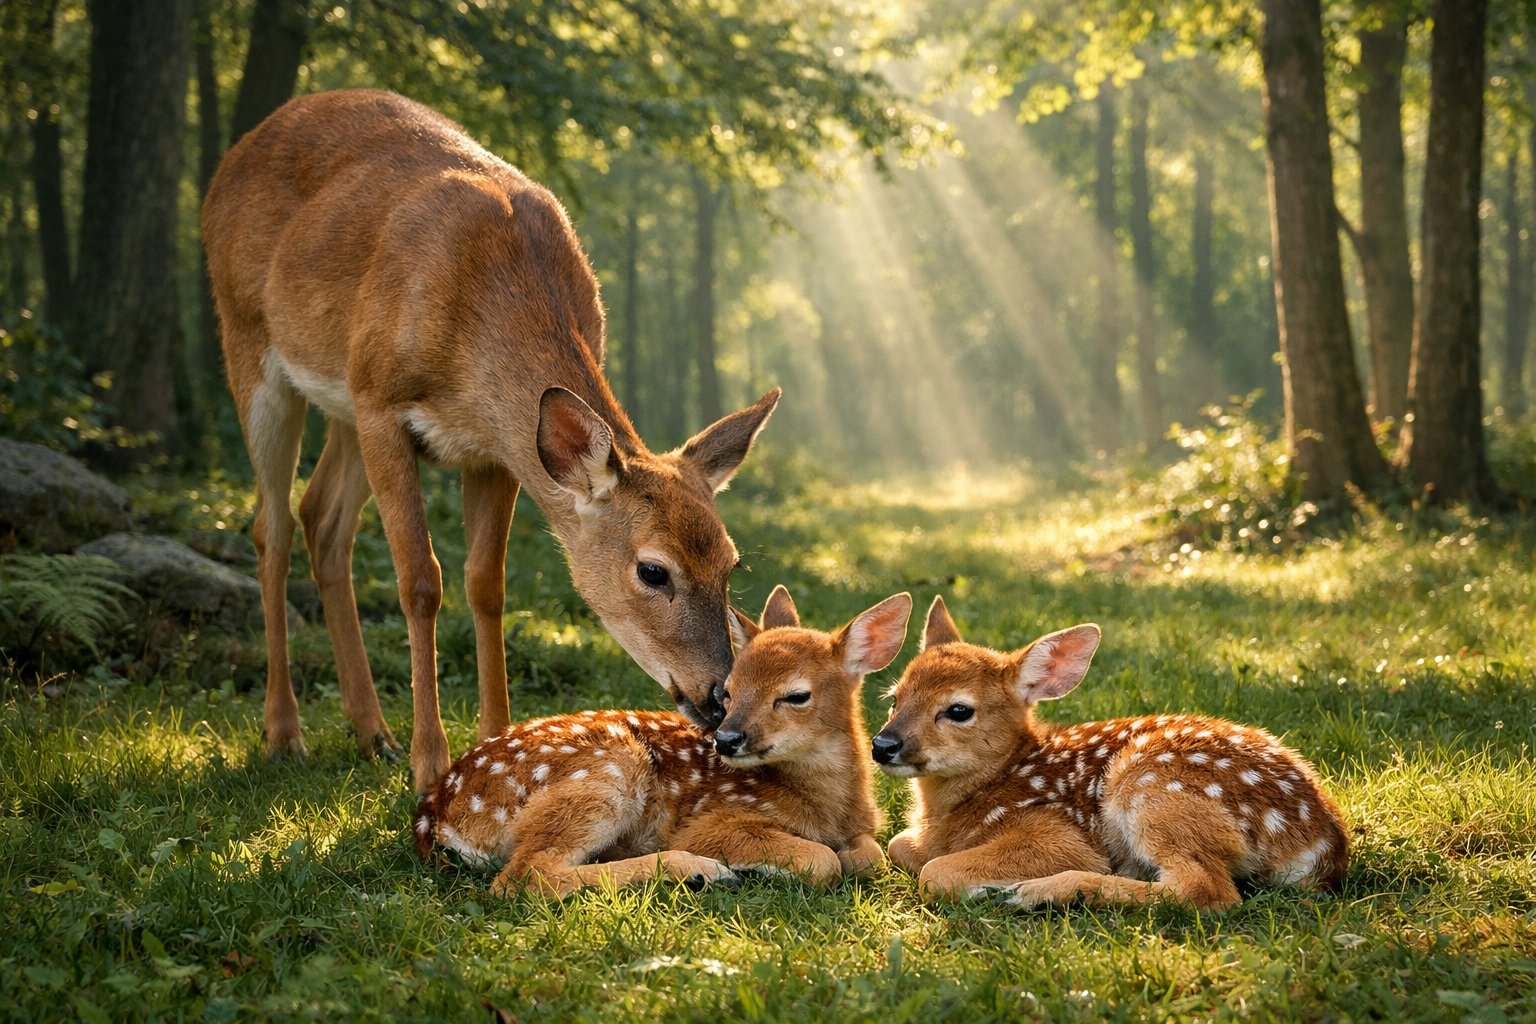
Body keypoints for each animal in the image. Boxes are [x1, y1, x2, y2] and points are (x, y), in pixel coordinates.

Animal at [202, 89, 780, 794]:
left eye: (731, 564)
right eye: (653, 570)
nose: (721, 696)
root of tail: (233, 156)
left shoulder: (499, 448)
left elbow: (487, 586)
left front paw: (495, 745)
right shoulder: (381, 401)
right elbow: (421, 580)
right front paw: (430, 765)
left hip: (340, 403)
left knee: (323, 518)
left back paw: (372, 733)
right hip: (251, 342)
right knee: (272, 524)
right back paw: (285, 733)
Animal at [414, 586, 910, 897]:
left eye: (796, 695)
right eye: (729, 692)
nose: (725, 739)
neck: (829, 805)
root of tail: (436, 811)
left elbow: (872, 857)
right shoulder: (711, 822)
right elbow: (822, 860)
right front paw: (750, 866)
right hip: (609, 771)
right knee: (523, 876)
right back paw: (698, 871)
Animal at [872, 597, 1350, 911]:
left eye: (958, 710)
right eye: (894, 699)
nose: (883, 745)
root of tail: (1323, 844)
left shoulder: (1055, 833)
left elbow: (934, 872)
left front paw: (989, 888)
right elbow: (898, 844)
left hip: (1152, 788)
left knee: (1205, 890)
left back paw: (1040, 892)